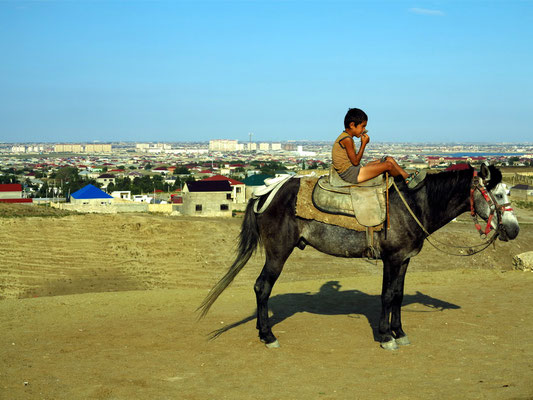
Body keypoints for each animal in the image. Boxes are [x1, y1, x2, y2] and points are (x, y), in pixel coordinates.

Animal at [197, 164, 516, 348]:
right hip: (278, 251)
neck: (413, 204)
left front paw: (400, 332)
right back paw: (268, 336)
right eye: (498, 195)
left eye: (509, 193)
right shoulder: (392, 258)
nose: (512, 230)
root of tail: (266, 193)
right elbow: (387, 295)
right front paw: (386, 336)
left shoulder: (405, 259)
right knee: (262, 287)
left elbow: (398, 295)